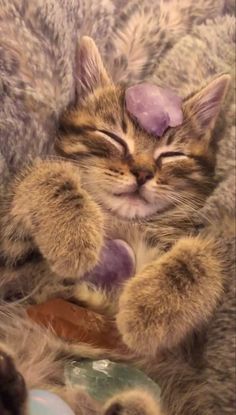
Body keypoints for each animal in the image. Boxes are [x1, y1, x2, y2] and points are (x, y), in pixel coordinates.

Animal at [0, 36, 234, 415]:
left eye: (171, 155)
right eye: (114, 138)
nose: (142, 172)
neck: (125, 222)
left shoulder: (192, 348)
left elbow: (206, 252)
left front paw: (150, 310)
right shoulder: (12, 267)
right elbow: (48, 171)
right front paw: (73, 237)